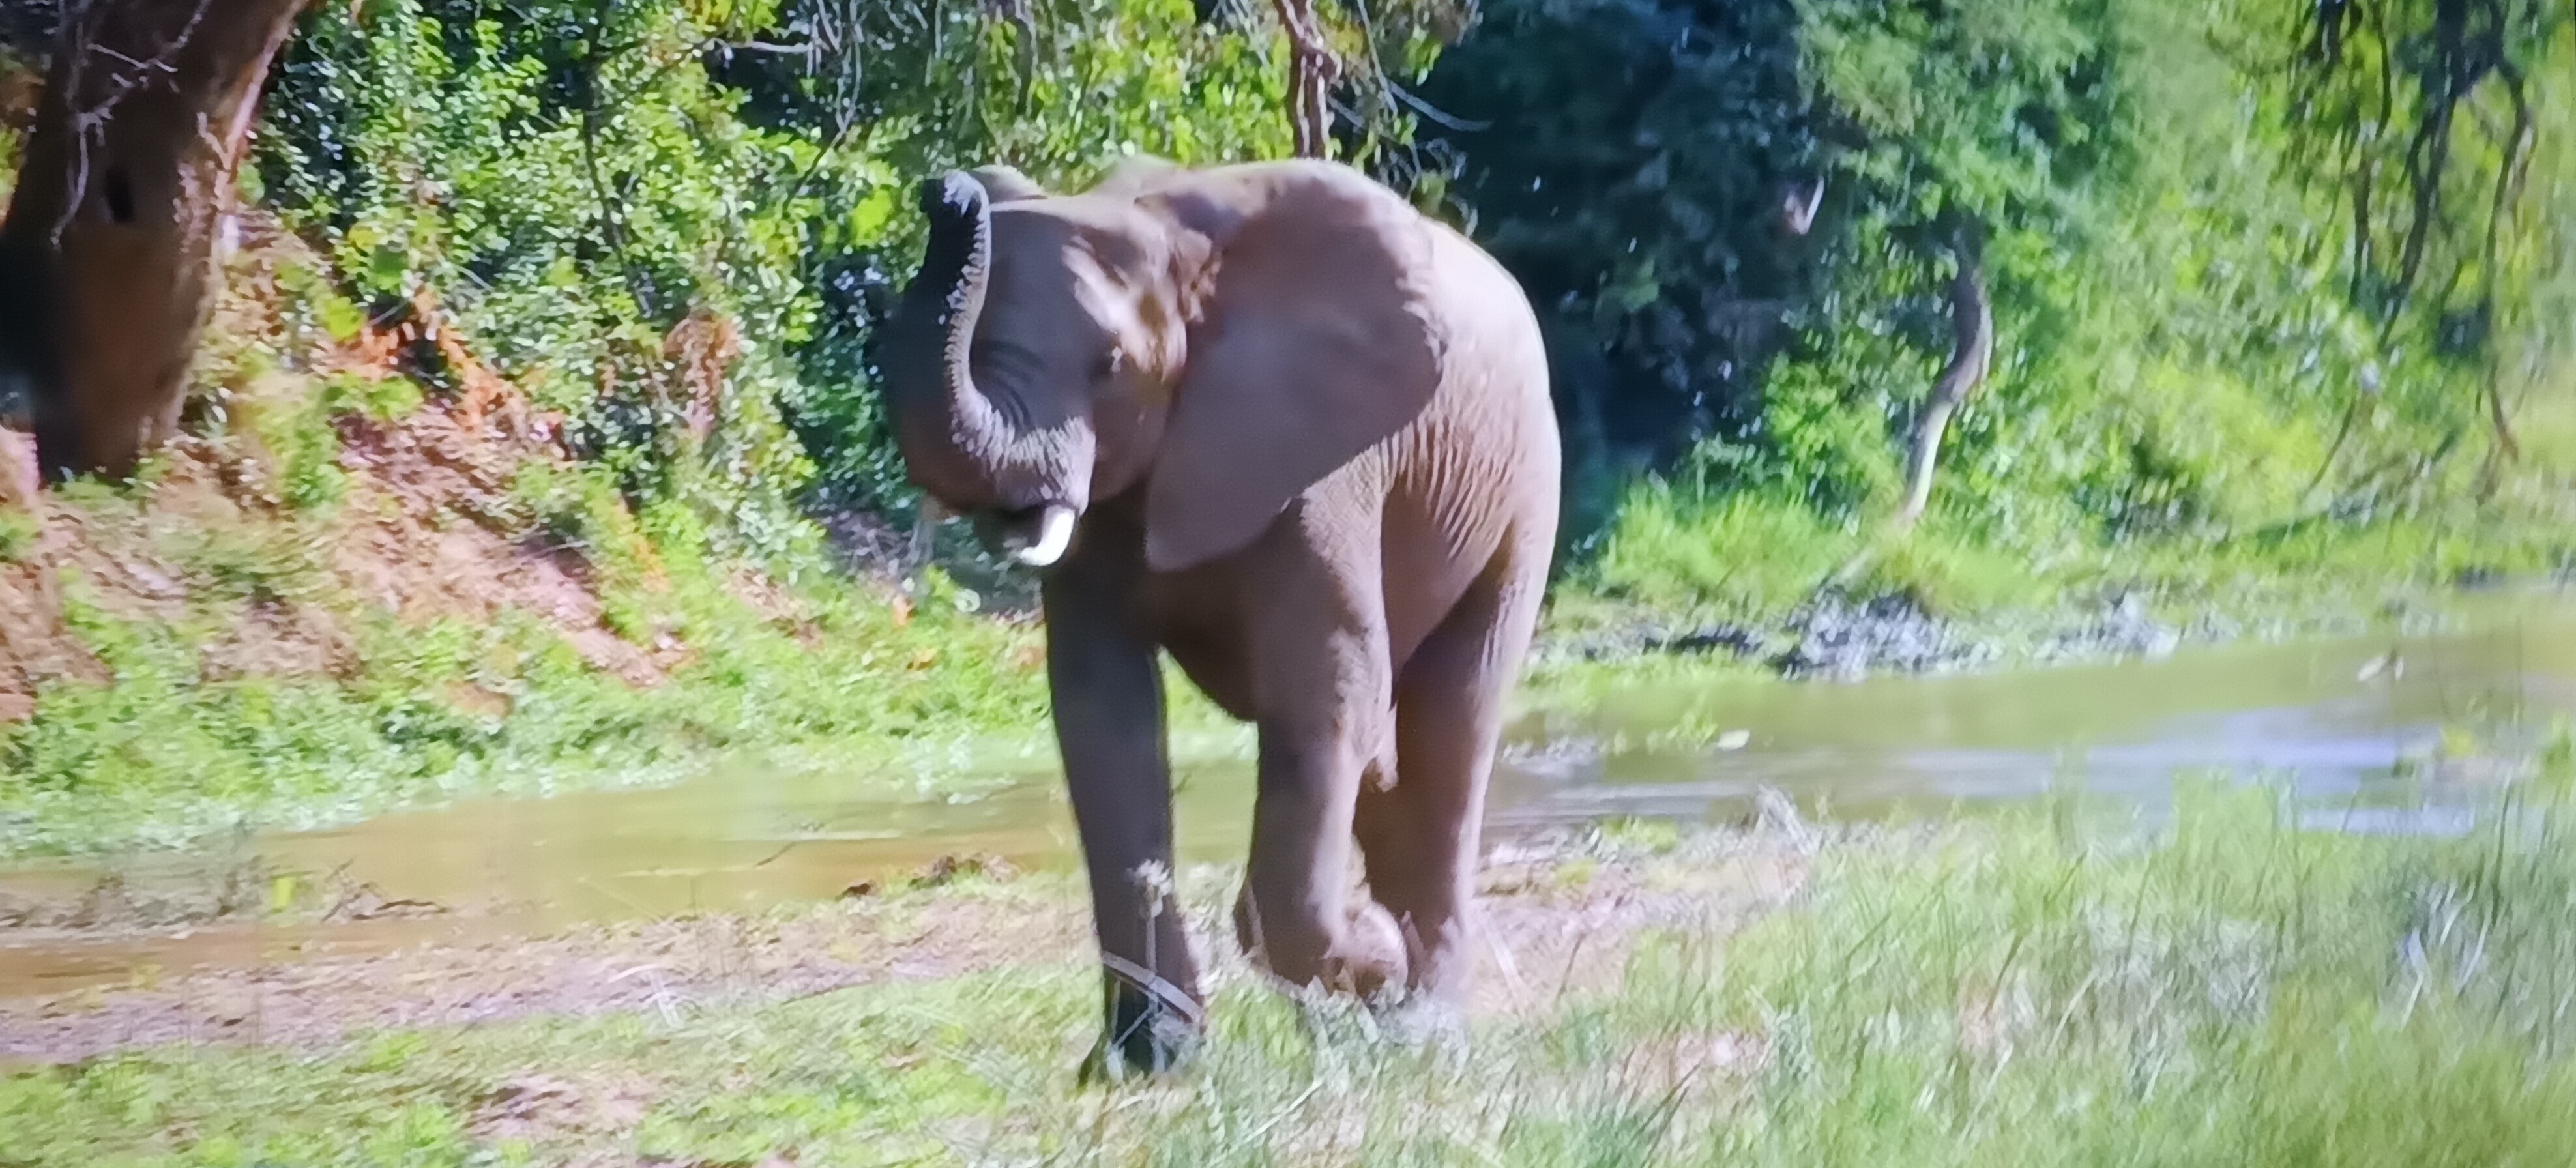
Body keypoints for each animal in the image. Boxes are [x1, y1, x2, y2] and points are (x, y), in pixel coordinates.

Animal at [878, 155, 1560, 1076]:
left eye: (1110, 365)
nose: (947, 191)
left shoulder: (1320, 462)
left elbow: (1326, 691)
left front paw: (1377, 959)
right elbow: (1103, 715)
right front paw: (1145, 1064)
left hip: (1522, 494)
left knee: (1447, 735)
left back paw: (1420, 1030)